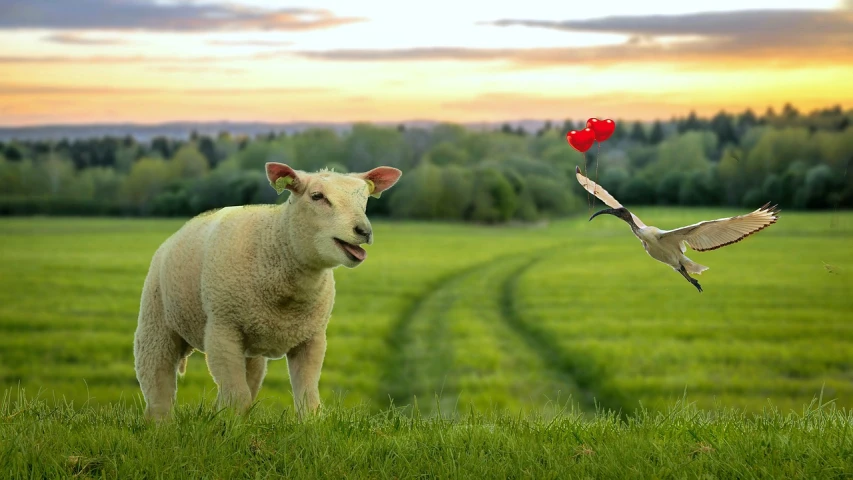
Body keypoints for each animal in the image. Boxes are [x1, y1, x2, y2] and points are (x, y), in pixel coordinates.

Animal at [132, 162, 402, 420]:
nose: (364, 231)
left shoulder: (312, 337)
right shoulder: (222, 329)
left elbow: (308, 402)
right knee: (157, 381)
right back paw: (161, 424)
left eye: (365, 198)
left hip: (251, 348)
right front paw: (228, 431)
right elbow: (237, 398)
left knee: (246, 382)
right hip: (156, 322)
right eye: (317, 196)